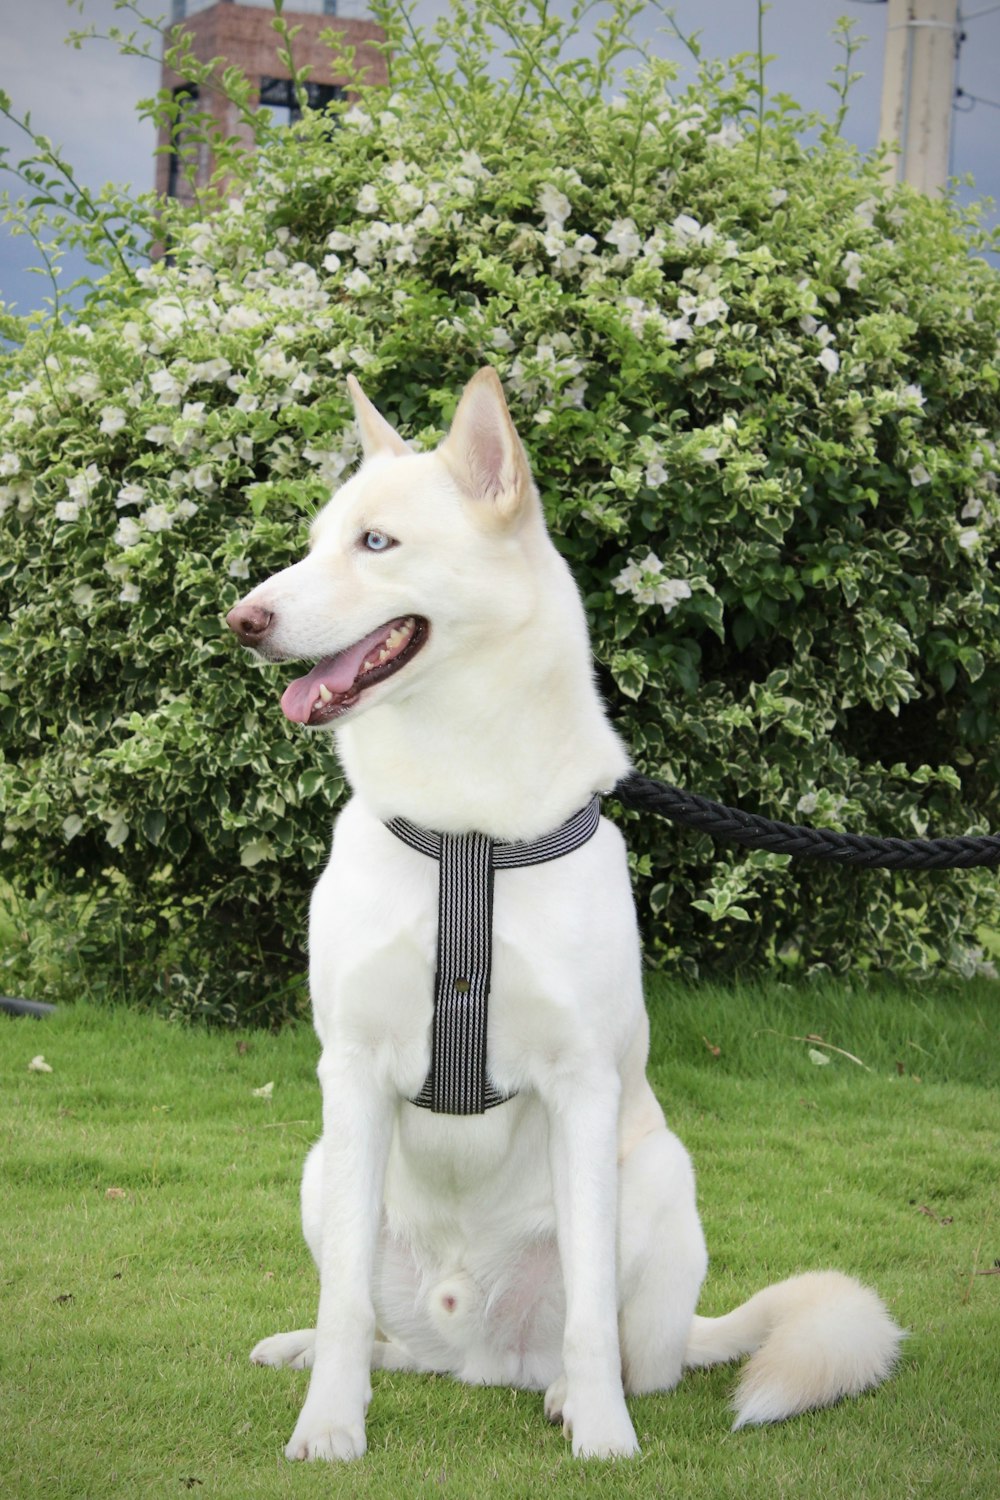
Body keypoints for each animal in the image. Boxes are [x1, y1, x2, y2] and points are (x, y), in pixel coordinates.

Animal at [229, 369, 905, 1458]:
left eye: (376, 543)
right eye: (317, 540)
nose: (241, 620)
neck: (464, 826)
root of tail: (480, 1352)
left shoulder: (583, 1086)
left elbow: (590, 1309)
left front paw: (602, 1436)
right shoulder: (353, 1074)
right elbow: (340, 1307)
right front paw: (328, 1426)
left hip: (659, 1173)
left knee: (631, 1354)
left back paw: (569, 1394)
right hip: (322, 1166)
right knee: (382, 1330)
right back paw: (336, 1355)